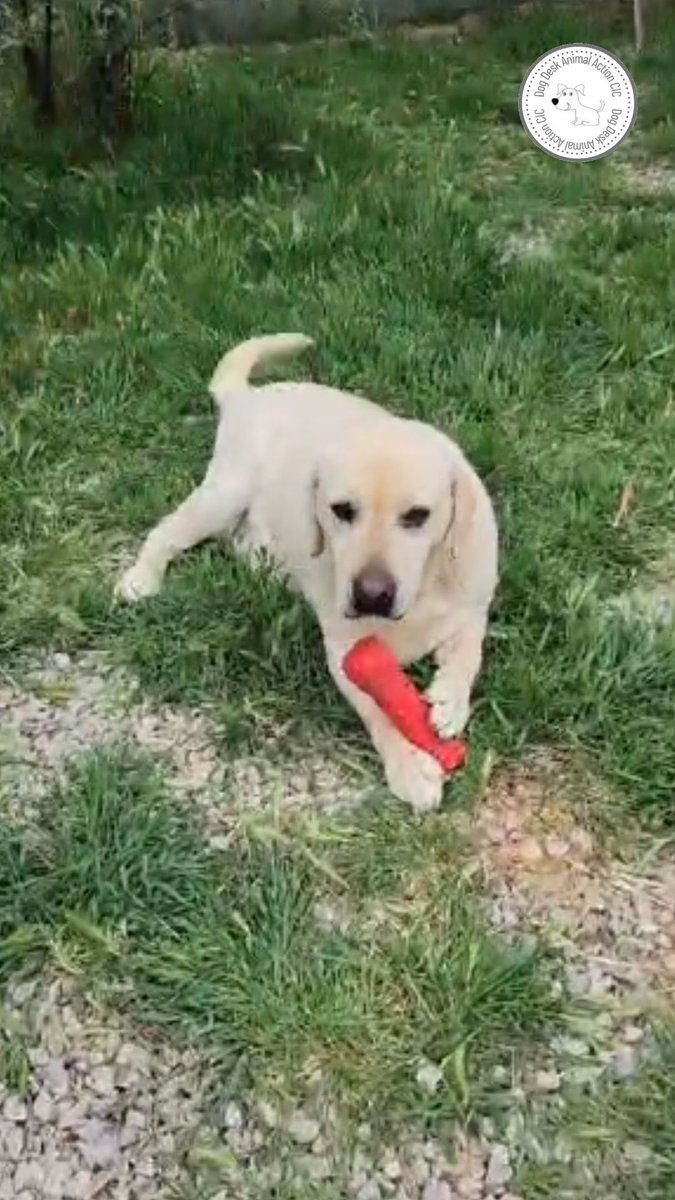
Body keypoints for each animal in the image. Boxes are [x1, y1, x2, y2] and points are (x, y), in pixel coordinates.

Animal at [114, 333, 494, 811]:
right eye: (341, 510)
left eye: (417, 516)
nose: (371, 595)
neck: (424, 588)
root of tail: (248, 397)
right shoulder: (345, 653)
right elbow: (380, 711)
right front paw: (410, 767)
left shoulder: (473, 607)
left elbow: (469, 652)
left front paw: (450, 700)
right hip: (224, 493)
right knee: (165, 531)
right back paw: (140, 579)